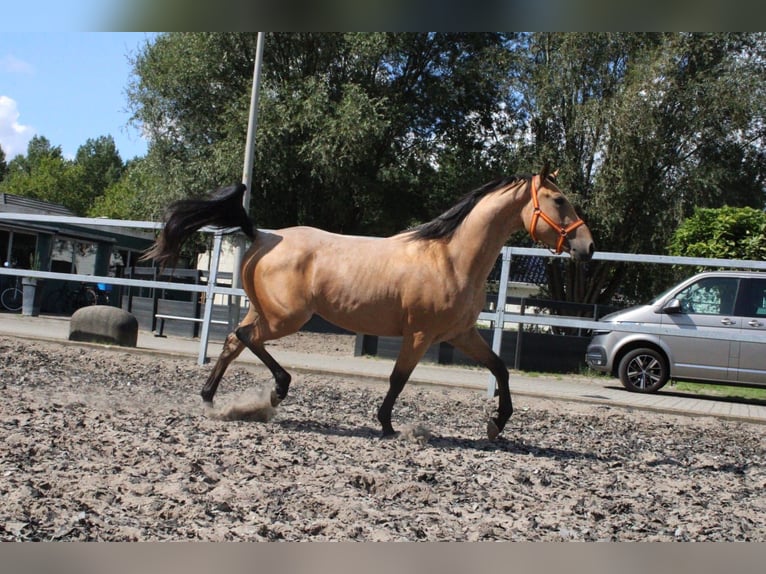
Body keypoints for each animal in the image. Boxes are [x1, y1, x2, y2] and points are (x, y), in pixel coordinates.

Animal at [146, 166, 600, 440]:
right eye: (559, 200)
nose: (588, 248)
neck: (451, 258)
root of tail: (262, 236)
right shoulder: (419, 335)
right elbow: (398, 379)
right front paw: (387, 425)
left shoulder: (460, 334)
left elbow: (501, 369)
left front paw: (497, 424)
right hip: (285, 318)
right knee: (244, 338)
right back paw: (276, 390)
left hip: (269, 312)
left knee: (230, 343)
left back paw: (212, 399)